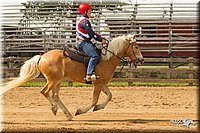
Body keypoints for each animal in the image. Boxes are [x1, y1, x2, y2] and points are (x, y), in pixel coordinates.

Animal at [1, 33, 144, 120]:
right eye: (136, 46)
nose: (142, 59)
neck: (106, 58)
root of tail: (42, 57)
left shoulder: (101, 83)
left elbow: (109, 96)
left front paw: (98, 108)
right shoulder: (97, 84)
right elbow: (94, 100)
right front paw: (81, 110)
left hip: (58, 81)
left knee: (55, 96)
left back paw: (67, 114)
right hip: (53, 80)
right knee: (45, 92)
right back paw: (55, 108)